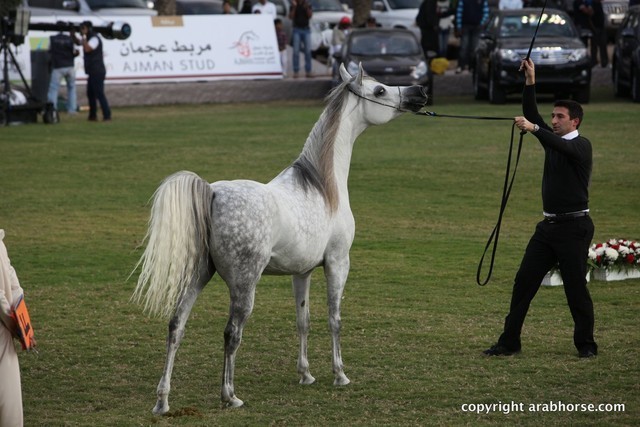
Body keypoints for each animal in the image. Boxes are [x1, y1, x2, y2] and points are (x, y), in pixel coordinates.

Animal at [132, 63, 428, 414]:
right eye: (379, 90)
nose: (419, 91)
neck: (323, 187)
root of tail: (213, 193)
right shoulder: (338, 262)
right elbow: (334, 319)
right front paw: (340, 375)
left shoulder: (302, 272)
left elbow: (303, 320)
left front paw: (306, 375)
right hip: (244, 285)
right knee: (231, 333)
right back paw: (229, 395)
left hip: (199, 275)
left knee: (176, 325)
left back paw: (162, 401)